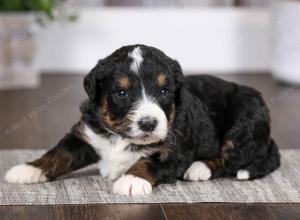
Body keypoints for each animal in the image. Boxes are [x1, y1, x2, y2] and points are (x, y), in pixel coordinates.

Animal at [5, 44, 282, 196]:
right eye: (121, 93)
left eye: (164, 91)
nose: (148, 124)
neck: (120, 136)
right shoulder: (86, 134)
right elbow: (59, 153)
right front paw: (28, 169)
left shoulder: (176, 149)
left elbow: (148, 162)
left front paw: (131, 180)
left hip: (244, 120)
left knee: (232, 158)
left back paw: (199, 168)